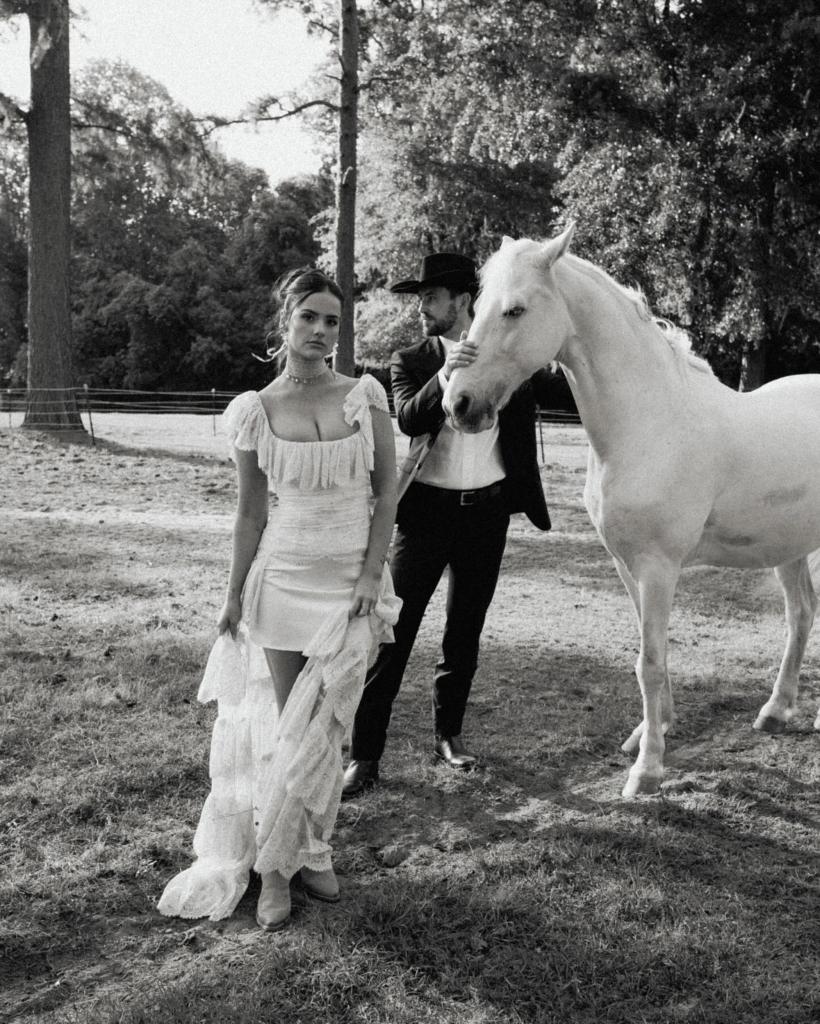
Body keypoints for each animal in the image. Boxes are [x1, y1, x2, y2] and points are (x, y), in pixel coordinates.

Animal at [442, 224, 818, 798]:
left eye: (515, 310)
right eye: (478, 306)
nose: (458, 405)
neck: (649, 421)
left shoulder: (658, 568)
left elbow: (651, 661)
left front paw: (647, 769)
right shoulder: (626, 565)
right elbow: (650, 654)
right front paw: (651, 732)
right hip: (788, 548)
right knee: (800, 615)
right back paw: (775, 711)